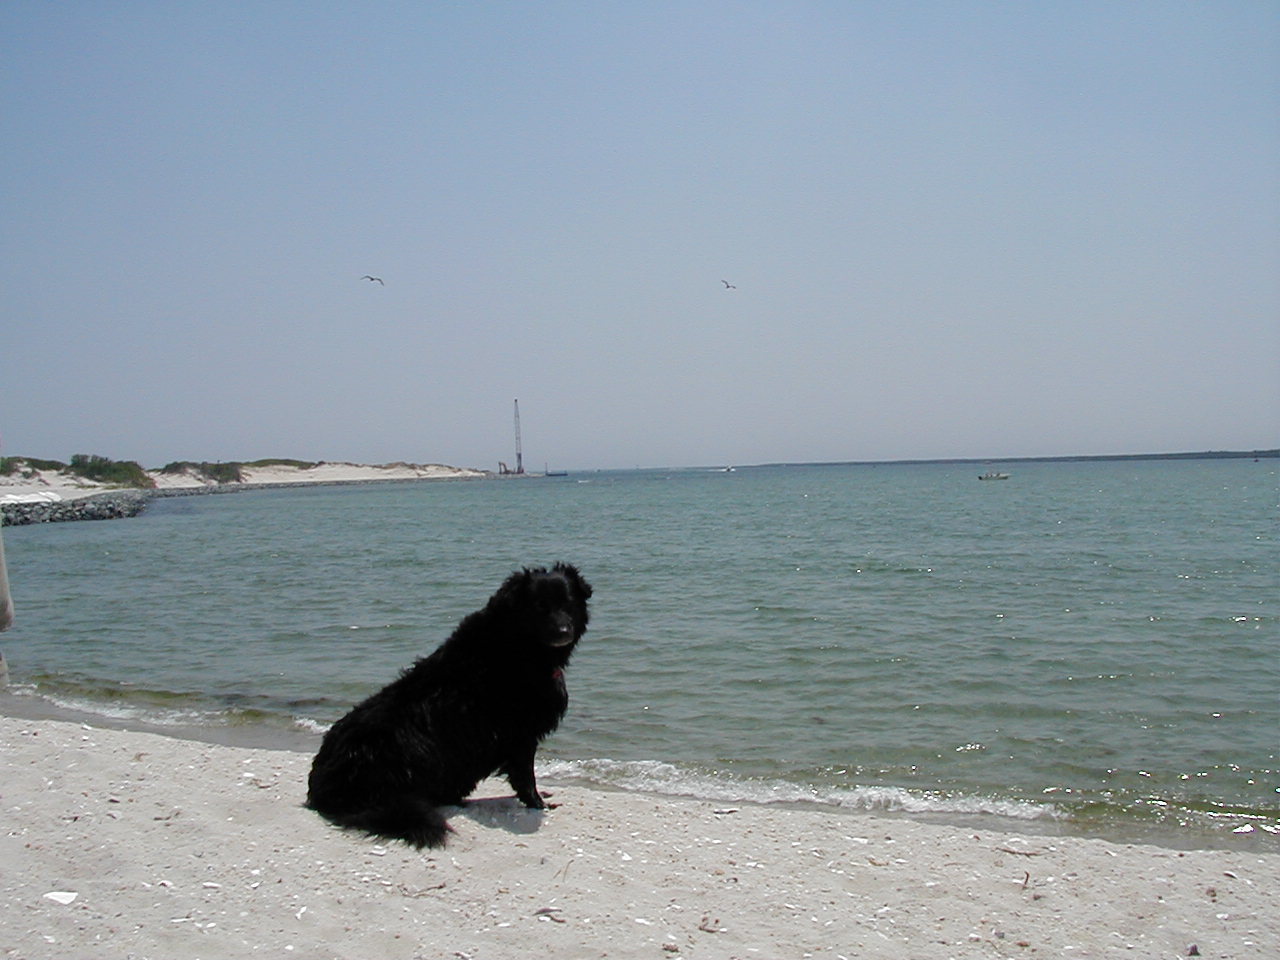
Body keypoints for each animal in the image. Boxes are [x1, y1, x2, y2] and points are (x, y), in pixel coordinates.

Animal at [305, 562, 592, 848]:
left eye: (568, 603)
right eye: (539, 606)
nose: (563, 632)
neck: (516, 647)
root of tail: (322, 788)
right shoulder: (520, 734)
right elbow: (525, 776)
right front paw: (537, 803)